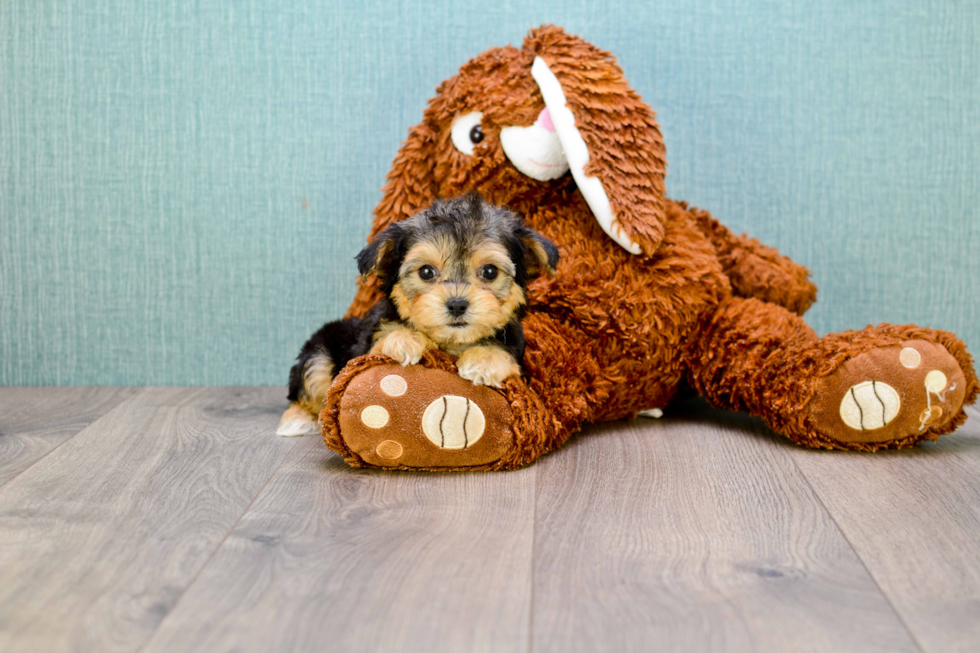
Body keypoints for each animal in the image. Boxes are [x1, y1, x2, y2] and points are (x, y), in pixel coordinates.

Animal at [274, 194, 560, 438]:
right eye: (426, 272)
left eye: (490, 272)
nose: (457, 304)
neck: (452, 343)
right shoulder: (367, 346)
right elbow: (386, 337)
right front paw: (404, 340)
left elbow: (504, 352)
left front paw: (483, 361)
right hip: (319, 353)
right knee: (306, 386)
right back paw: (297, 420)